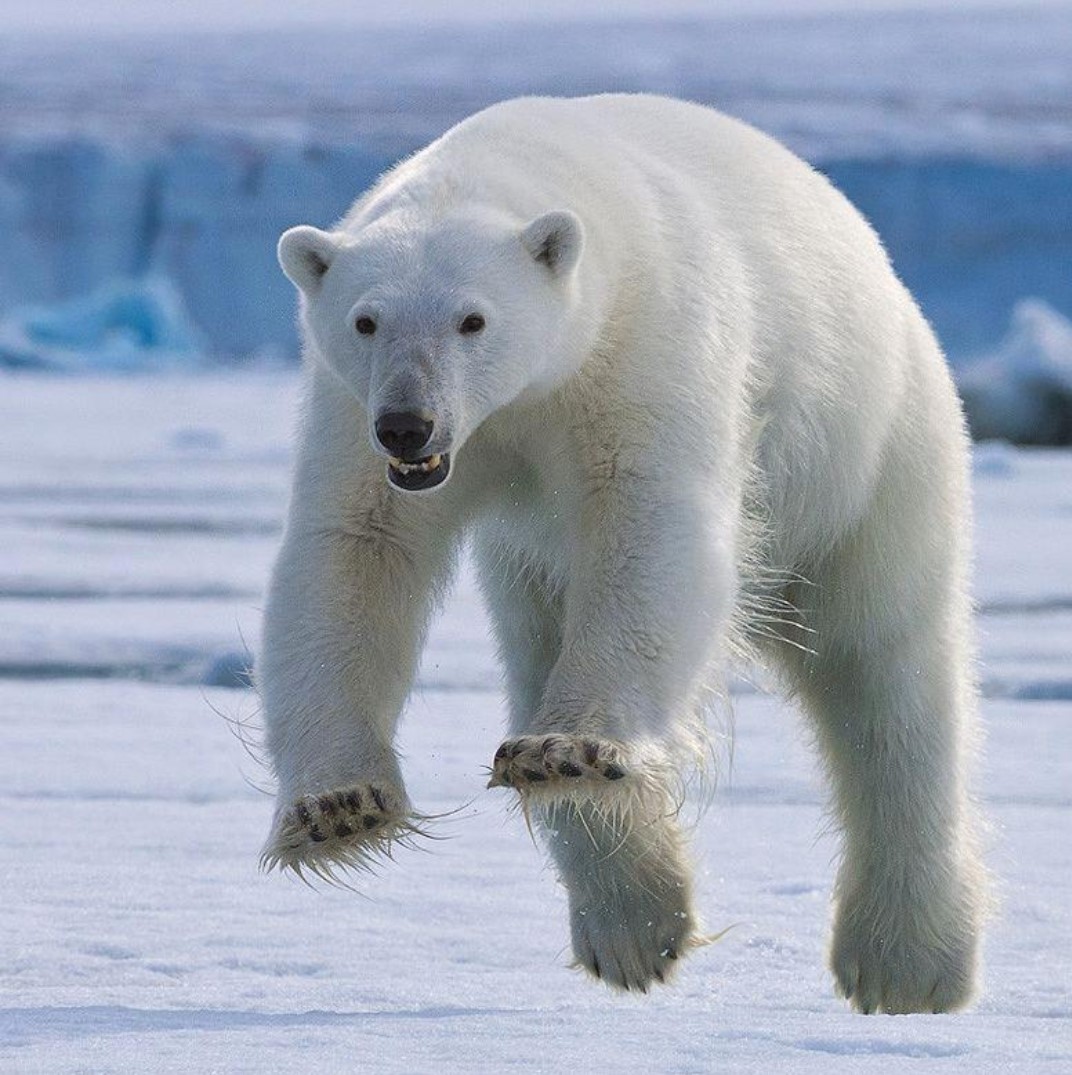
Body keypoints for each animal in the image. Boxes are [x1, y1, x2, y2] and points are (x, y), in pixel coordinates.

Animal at [259, 93, 986, 1013]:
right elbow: (354, 551)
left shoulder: (643, 354)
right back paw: (633, 923)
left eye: (473, 318)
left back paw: (905, 963)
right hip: (530, 563)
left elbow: (650, 528)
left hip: (869, 458)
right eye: (365, 319)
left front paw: (568, 748)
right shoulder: (354, 414)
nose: (409, 425)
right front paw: (338, 807)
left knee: (889, 672)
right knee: (538, 641)